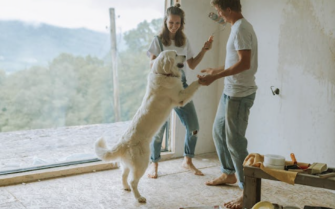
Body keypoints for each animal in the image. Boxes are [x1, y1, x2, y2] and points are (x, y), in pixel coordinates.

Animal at [94, 50, 201, 202]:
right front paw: (202, 78)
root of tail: (123, 143)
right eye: (175, 55)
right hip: (142, 163)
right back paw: (139, 198)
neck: (163, 74)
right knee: (133, 181)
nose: (185, 56)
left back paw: (126, 188)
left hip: (127, 165)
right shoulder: (180, 97)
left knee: (123, 175)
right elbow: (192, 86)